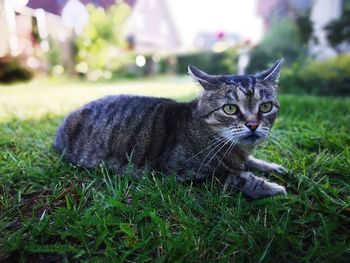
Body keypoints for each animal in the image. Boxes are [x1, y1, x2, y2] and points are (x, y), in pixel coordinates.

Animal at [54, 59, 288, 200]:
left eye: (266, 107)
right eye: (230, 109)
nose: (253, 125)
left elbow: (251, 162)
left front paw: (274, 167)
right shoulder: (186, 174)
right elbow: (238, 177)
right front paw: (272, 188)